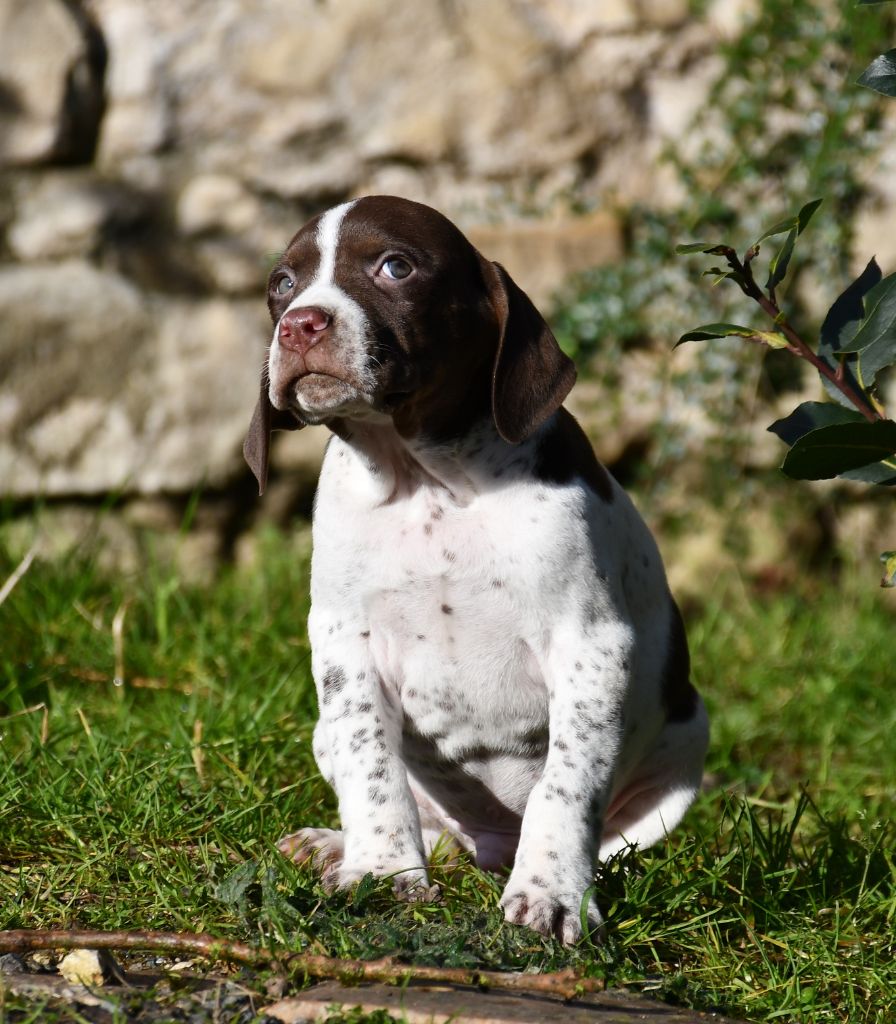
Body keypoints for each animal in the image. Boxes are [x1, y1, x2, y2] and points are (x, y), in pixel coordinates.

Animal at [243, 193, 708, 942]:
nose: (299, 324)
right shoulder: (345, 644)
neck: (425, 481)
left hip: (688, 743)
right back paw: (335, 845)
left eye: (395, 266)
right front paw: (380, 872)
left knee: (611, 839)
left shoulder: (591, 646)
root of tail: (490, 849)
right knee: (425, 821)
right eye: (282, 285)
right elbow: (373, 765)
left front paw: (552, 897)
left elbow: (565, 783)